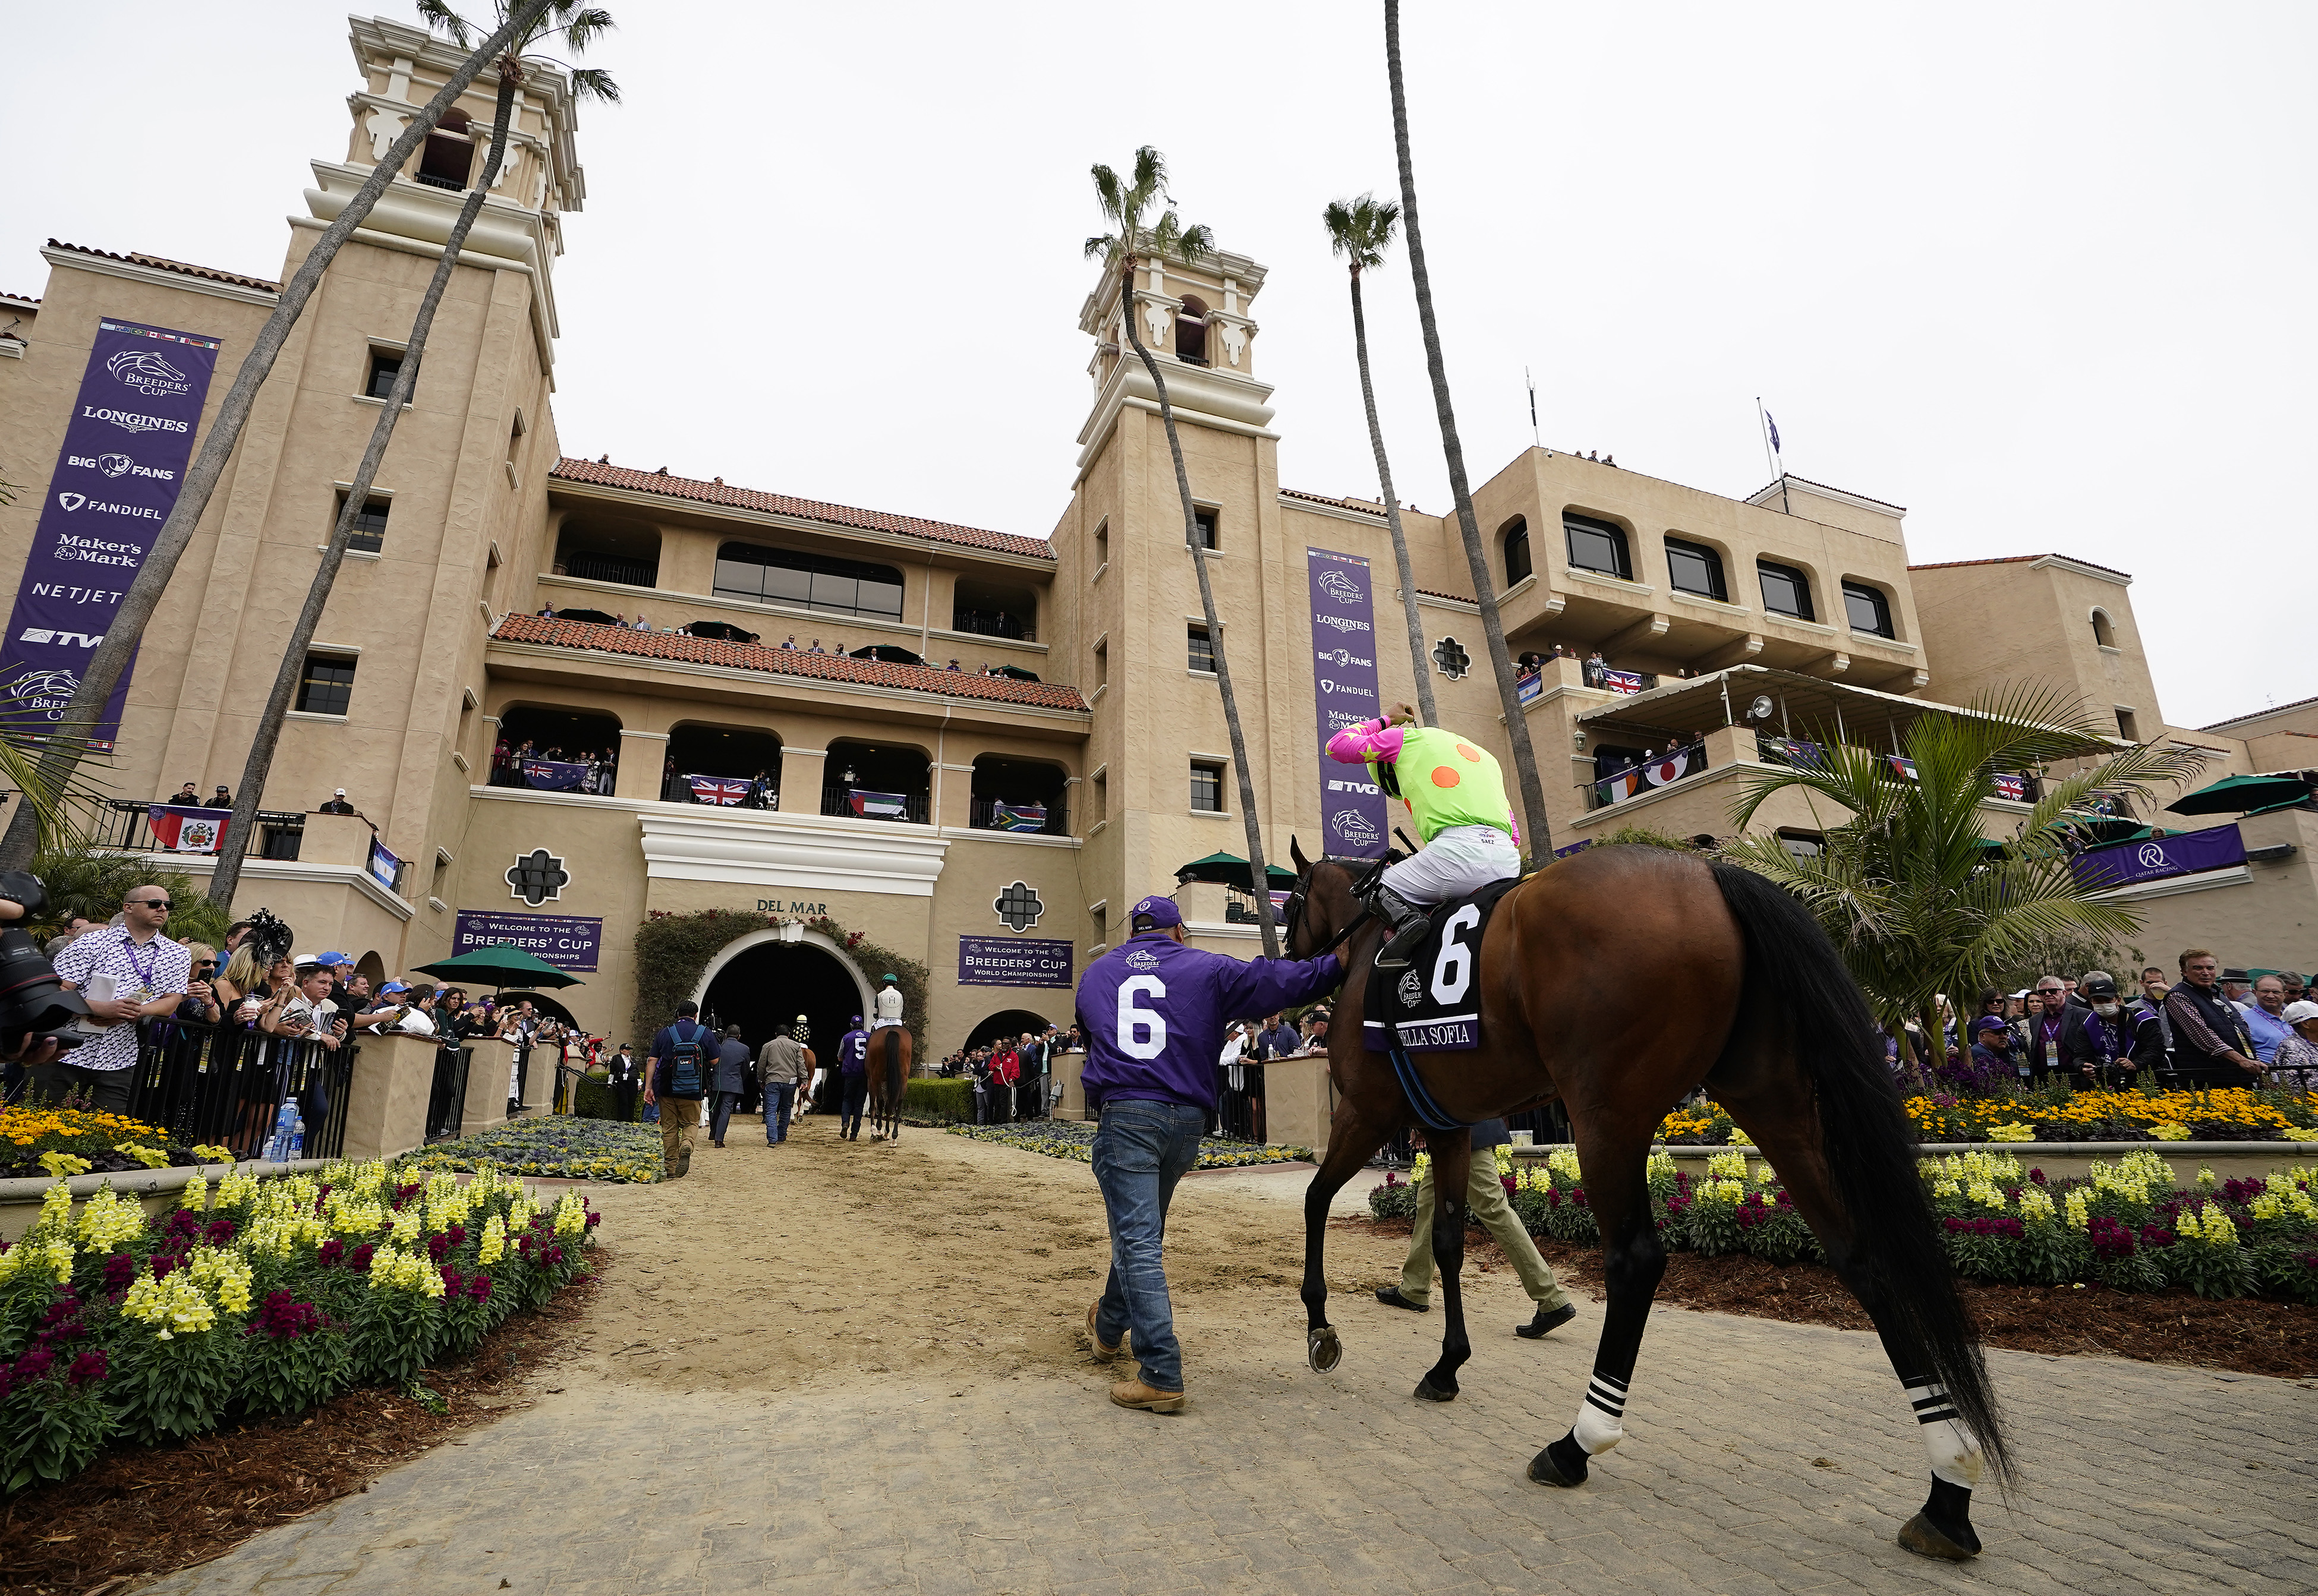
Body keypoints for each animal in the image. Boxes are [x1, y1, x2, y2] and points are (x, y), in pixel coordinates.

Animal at [867, 1028, 908, 1140]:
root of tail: (892, 1030)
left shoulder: (871, 1081)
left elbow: (873, 1106)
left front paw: (875, 1132)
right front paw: (886, 1132)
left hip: (876, 1077)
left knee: (880, 1102)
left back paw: (879, 1130)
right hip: (903, 1079)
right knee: (898, 1104)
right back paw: (894, 1135)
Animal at [1289, 838, 2012, 1566]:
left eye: (1290, 902)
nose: (1293, 955)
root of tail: (1708, 874)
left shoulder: (1369, 1110)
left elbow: (1316, 1199)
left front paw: (1321, 1325)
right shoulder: (1448, 1127)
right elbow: (1447, 1242)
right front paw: (1446, 1366)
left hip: (1606, 1112)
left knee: (1635, 1260)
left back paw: (1576, 1445)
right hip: (1772, 1099)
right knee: (1861, 1255)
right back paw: (1948, 1489)